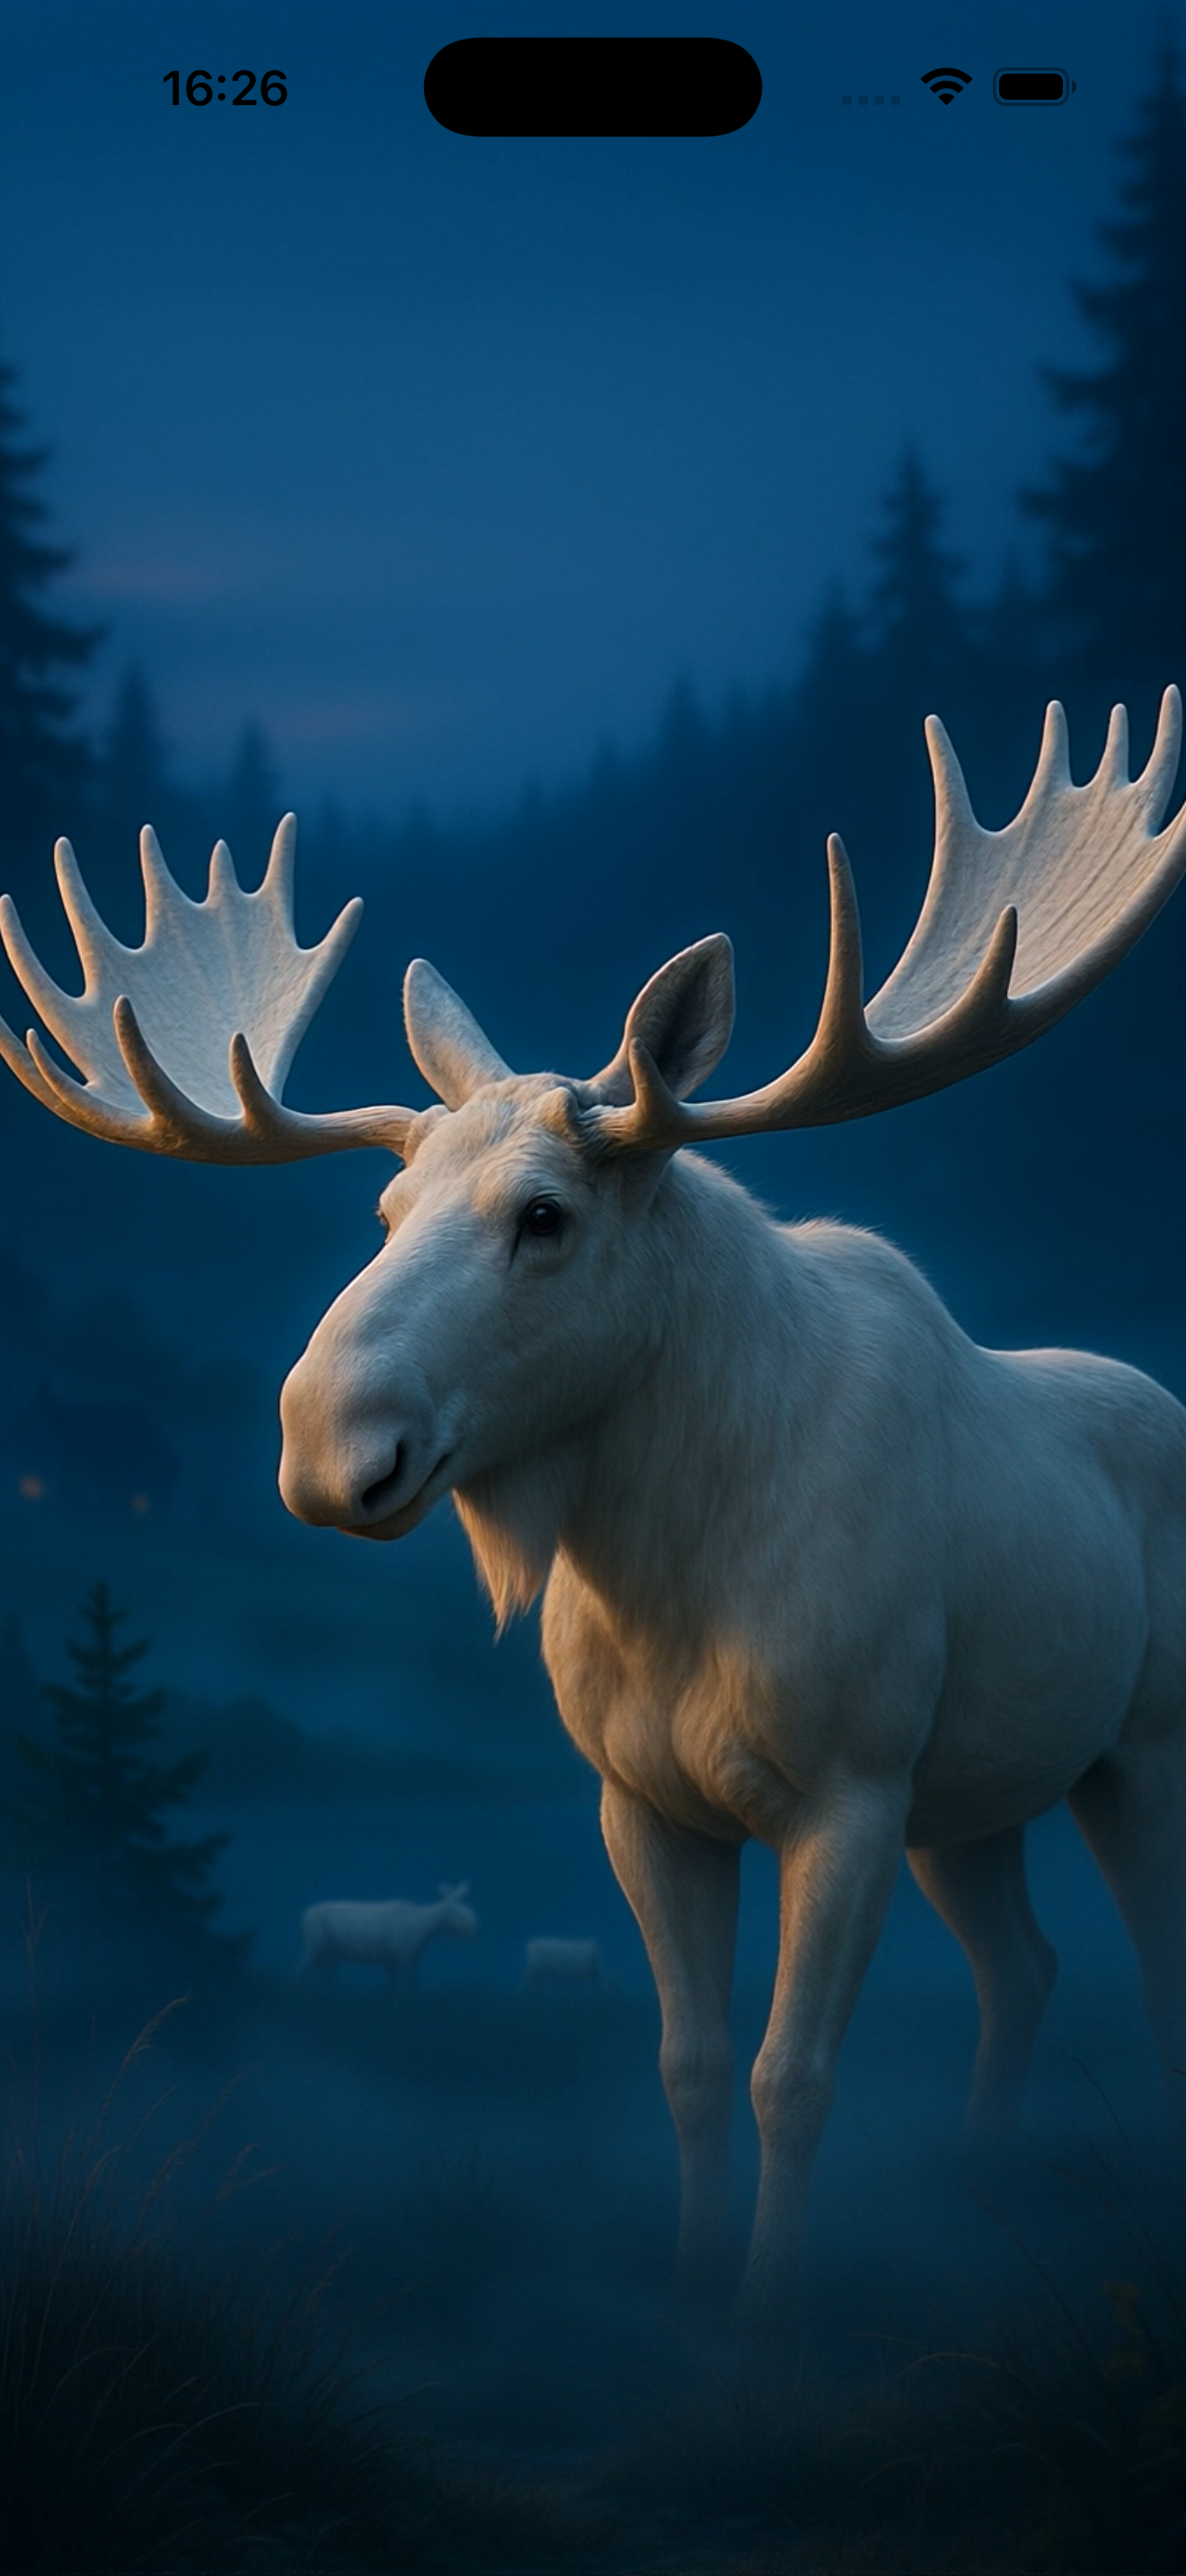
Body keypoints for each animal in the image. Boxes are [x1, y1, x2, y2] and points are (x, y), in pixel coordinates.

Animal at [2, 691, 1185, 2325]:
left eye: (544, 1216)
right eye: (385, 1212)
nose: (324, 1442)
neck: (669, 1567)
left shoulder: (851, 1791)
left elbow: (790, 2075)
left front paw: (768, 2311)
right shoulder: (646, 1799)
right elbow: (688, 2064)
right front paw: (687, 2284)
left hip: (1138, 1751)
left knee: (1147, 1974)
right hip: (976, 1798)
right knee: (1025, 1968)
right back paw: (979, 2185)